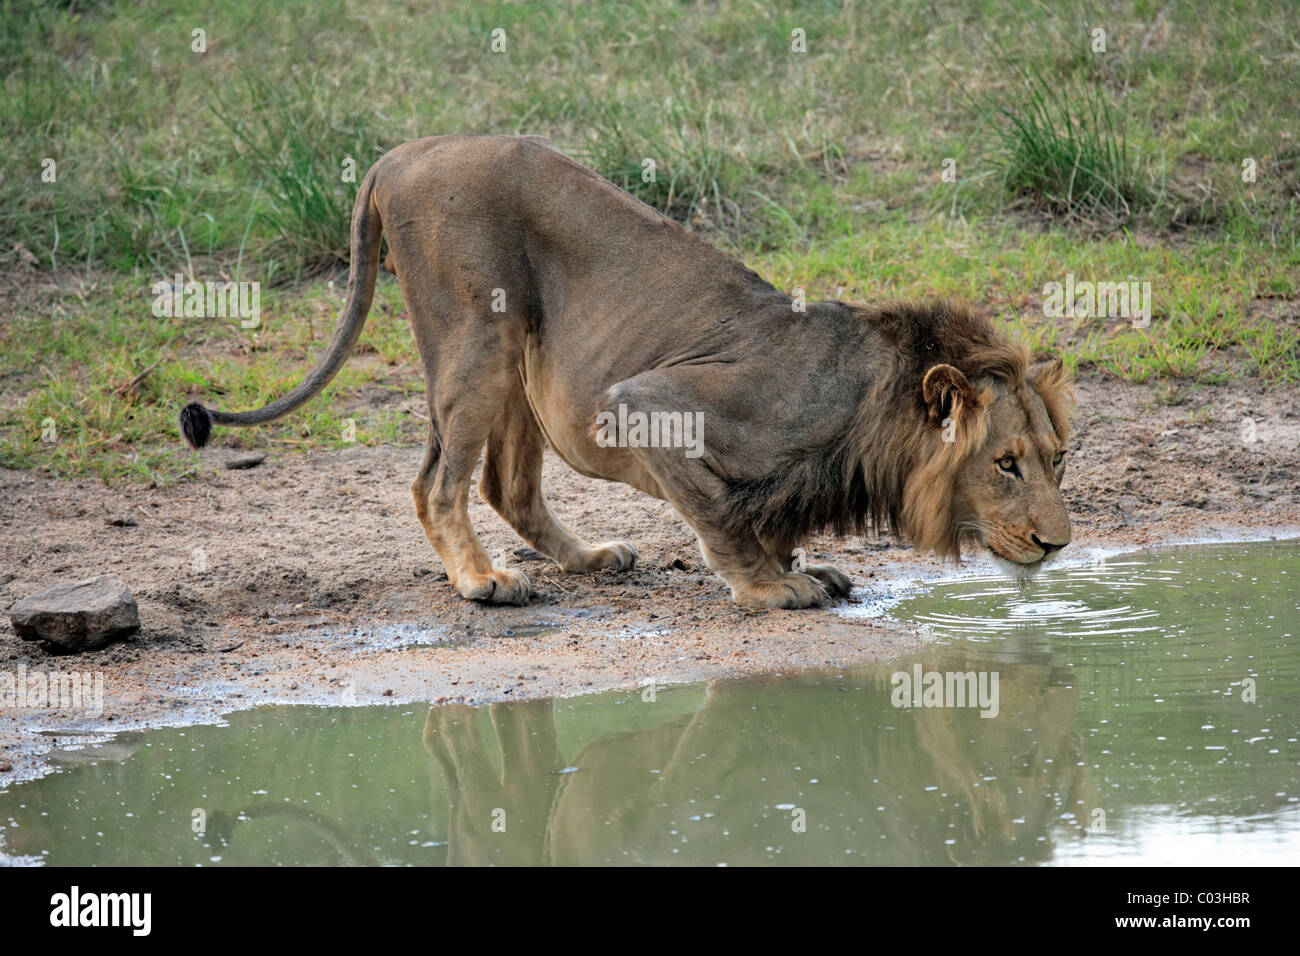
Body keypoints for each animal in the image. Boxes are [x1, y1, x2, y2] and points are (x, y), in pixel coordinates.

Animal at [183, 134, 1076, 608]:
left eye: (1057, 461)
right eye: (1004, 464)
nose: (1059, 543)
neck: (867, 404)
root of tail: (400, 154)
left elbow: (765, 514)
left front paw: (801, 567)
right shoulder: (645, 401)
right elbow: (722, 512)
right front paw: (769, 588)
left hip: (522, 354)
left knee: (507, 484)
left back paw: (587, 559)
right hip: (477, 334)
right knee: (436, 482)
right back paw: (481, 579)